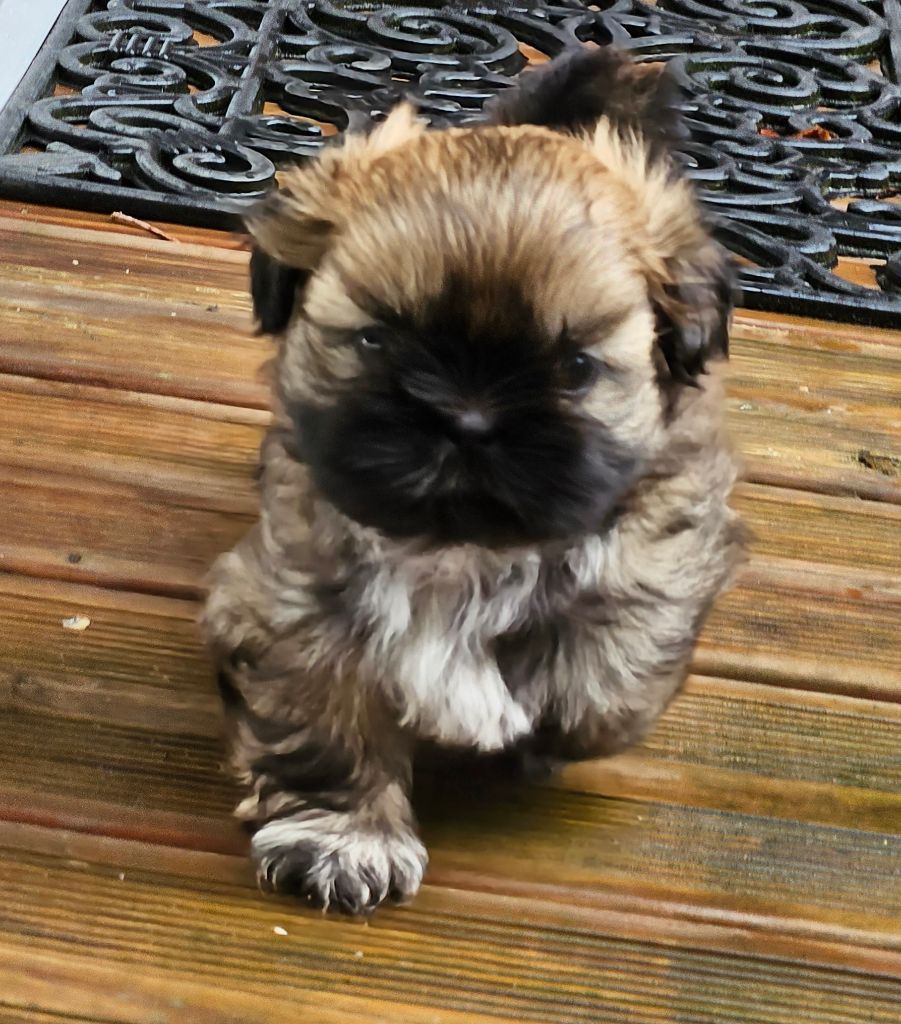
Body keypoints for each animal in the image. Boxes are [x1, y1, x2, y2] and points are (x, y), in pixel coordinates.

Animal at [203, 47, 745, 915]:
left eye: (575, 367)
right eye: (377, 340)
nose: (466, 419)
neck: (459, 546)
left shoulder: (663, 541)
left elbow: (607, 668)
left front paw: (530, 719)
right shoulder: (296, 595)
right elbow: (325, 715)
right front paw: (344, 835)